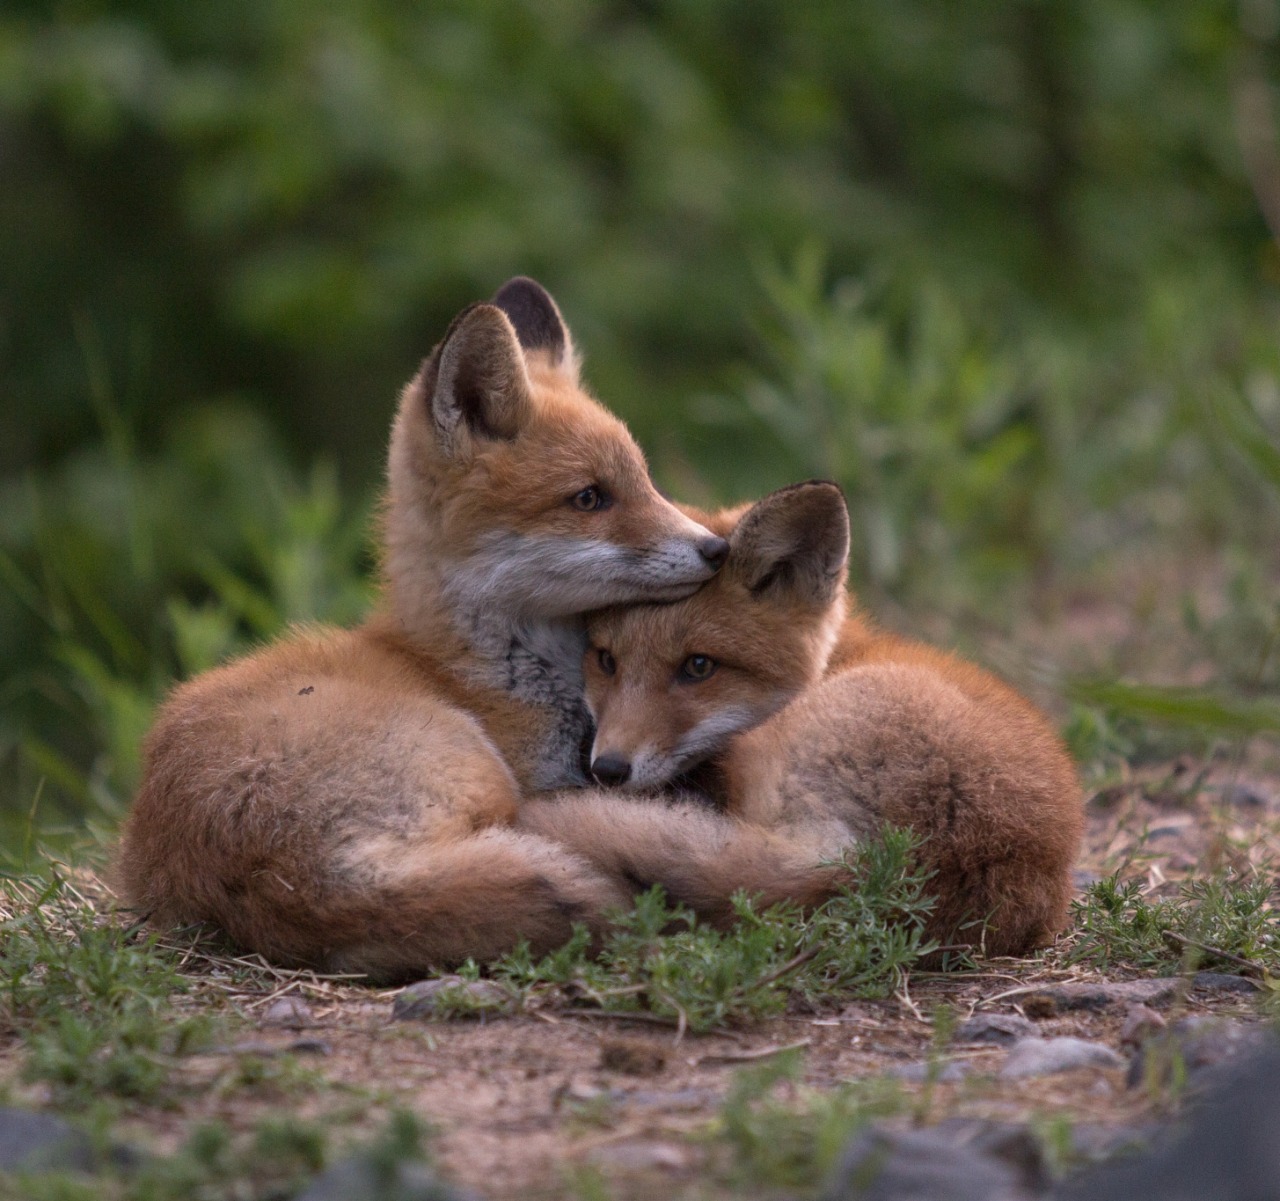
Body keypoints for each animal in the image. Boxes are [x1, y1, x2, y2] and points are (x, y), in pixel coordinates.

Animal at [124, 282, 737, 983]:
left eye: (646, 480)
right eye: (589, 498)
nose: (717, 549)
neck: (482, 668)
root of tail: (297, 887)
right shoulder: (534, 781)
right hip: (478, 773)